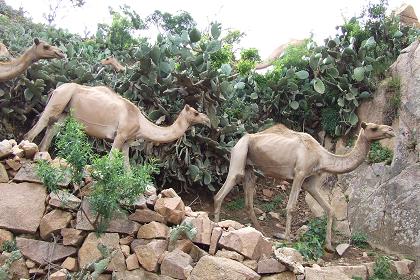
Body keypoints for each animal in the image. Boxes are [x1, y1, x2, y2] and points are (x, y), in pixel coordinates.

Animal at [23, 83, 210, 166]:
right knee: (39, 125)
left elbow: (127, 166)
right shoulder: (120, 134)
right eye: (195, 113)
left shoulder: (127, 141)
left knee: (51, 130)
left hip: (64, 112)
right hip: (60, 99)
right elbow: (111, 160)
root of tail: (56, 88)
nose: (207, 120)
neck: (141, 122)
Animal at [215, 122, 396, 249]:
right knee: (222, 191)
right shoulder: (300, 173)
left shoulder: (310, 183)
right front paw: (287, 238)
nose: (391, 130)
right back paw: (217, 225)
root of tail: (239, 140)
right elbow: (291, 207)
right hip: (240, 152)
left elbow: (330, 209)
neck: (321, 157)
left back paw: (261, 231)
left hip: (249, 165)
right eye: (373, 128)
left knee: (248, 195)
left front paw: (329, 245)